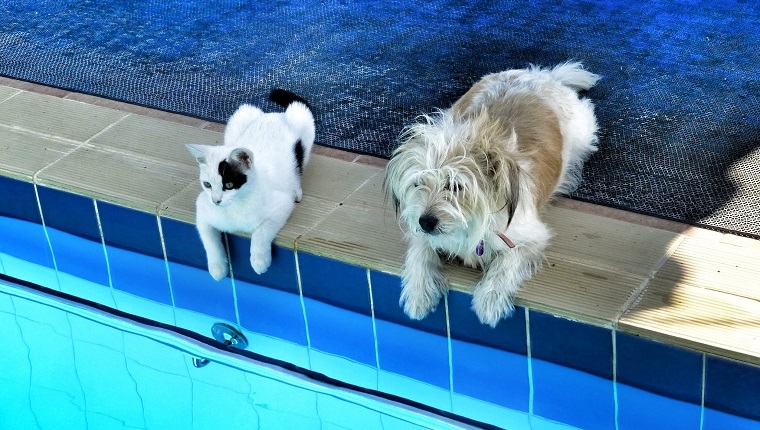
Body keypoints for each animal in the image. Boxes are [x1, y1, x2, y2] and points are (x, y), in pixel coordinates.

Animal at [186, 90, 314, 278]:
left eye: (229, 184)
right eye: (207, 184)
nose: (216, 201)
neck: (235, 207)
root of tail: (273, 115)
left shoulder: (282, 205)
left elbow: (261, 231)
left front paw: (259, 260)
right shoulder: (202, 206)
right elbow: (208, 239)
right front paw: (217, 267)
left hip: (303, 120)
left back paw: (296, 190)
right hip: (240, 116)